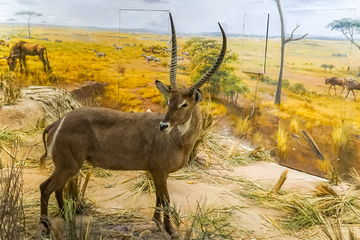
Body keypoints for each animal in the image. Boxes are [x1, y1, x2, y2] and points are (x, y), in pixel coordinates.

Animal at [38, 12, 225, 236]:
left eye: (184, 104)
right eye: (169, 101)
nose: (163, 126)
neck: (179, 140)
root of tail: (57, 123)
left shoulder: (158, 173)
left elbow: (159, 198)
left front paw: (156, 222)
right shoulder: (159, 172)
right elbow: (166, 200)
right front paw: (170, 230)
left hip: (67, 167)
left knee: (58, 188)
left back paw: (65, 217)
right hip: (68, 165)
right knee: (45, 187)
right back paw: (47, 226)